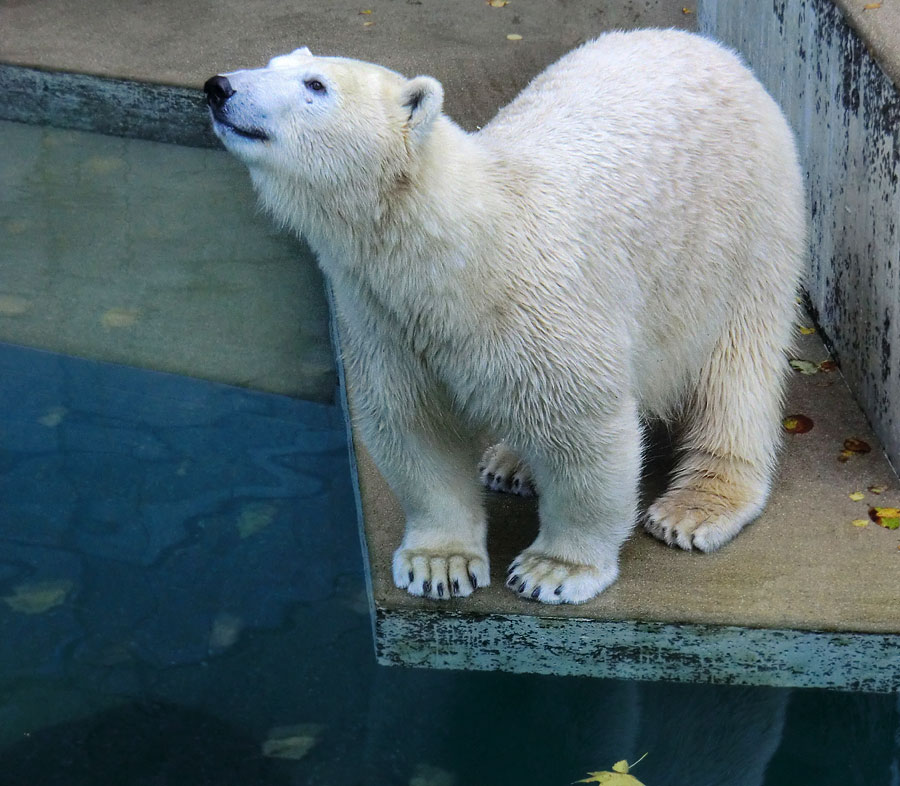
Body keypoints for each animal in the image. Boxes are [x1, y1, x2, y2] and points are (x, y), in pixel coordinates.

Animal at [207, 30, 804, 604]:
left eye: (315, 85)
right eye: (274, 63)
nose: (219, 86)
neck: (458, 251)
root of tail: (715, 50)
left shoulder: (541, 306)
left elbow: (585, 431)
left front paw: (554, 570)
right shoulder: (385, 322)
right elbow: (414, 427)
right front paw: (439, 564)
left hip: (742, 235)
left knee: (736, 372)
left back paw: (695, 507)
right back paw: (510, 462)